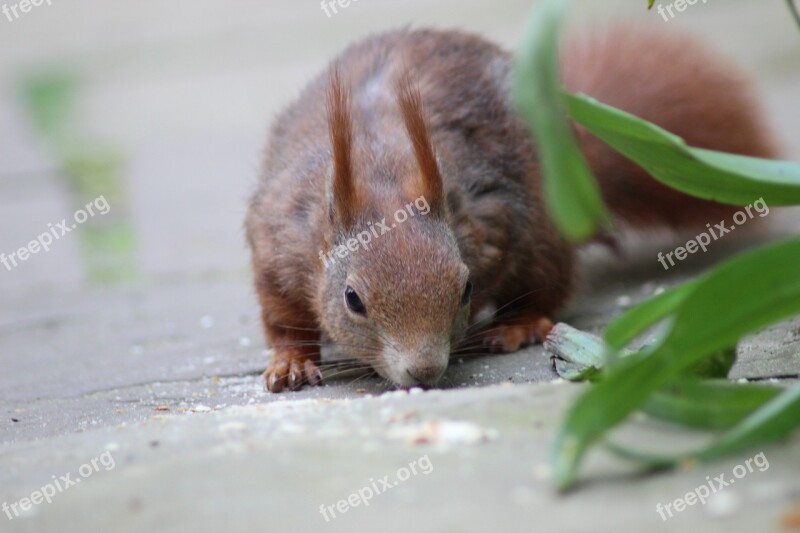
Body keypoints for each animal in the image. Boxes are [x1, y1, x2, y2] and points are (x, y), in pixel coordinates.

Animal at [247, 26, 780, 390]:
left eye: (465, 288)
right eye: (353, 299)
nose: (424, 370)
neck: (382, 168)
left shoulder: (495, 218)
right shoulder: (277, 243)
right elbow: (282, 316)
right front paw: (292, 360)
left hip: (544, 230)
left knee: (547, 285)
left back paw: (517, 325)